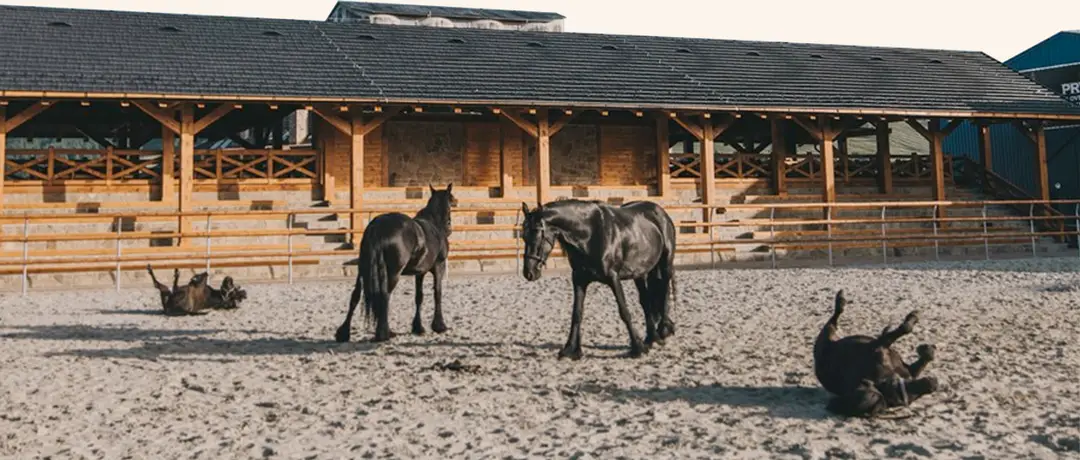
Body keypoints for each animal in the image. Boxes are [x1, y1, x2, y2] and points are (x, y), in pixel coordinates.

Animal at [335, 184, 457, 343]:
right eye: (451, 200)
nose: (449, 228)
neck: (435, 226)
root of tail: (377, 226)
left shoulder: (420, 272)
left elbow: (419, 296)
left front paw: (418, 327)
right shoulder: (438, 266)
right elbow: (437, 293)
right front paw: (439, 325)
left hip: (363, 270)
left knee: (355, 296)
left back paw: (343, 332)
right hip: (393, 273)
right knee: (385, 295)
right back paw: (383, 333)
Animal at [519, 199, 677, 360]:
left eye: (537, 235)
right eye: (523, 236)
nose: (529, 273)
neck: (590, 234)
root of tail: (659, 211)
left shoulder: (613, 278)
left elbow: (624, 312)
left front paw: (637, 348)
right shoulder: (579, 279)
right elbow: (577, 313)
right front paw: (570, 349)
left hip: (665, 264)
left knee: (665, 291)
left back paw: (663, 331)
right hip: (639, 273)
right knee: (645, 302)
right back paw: (651, 338)